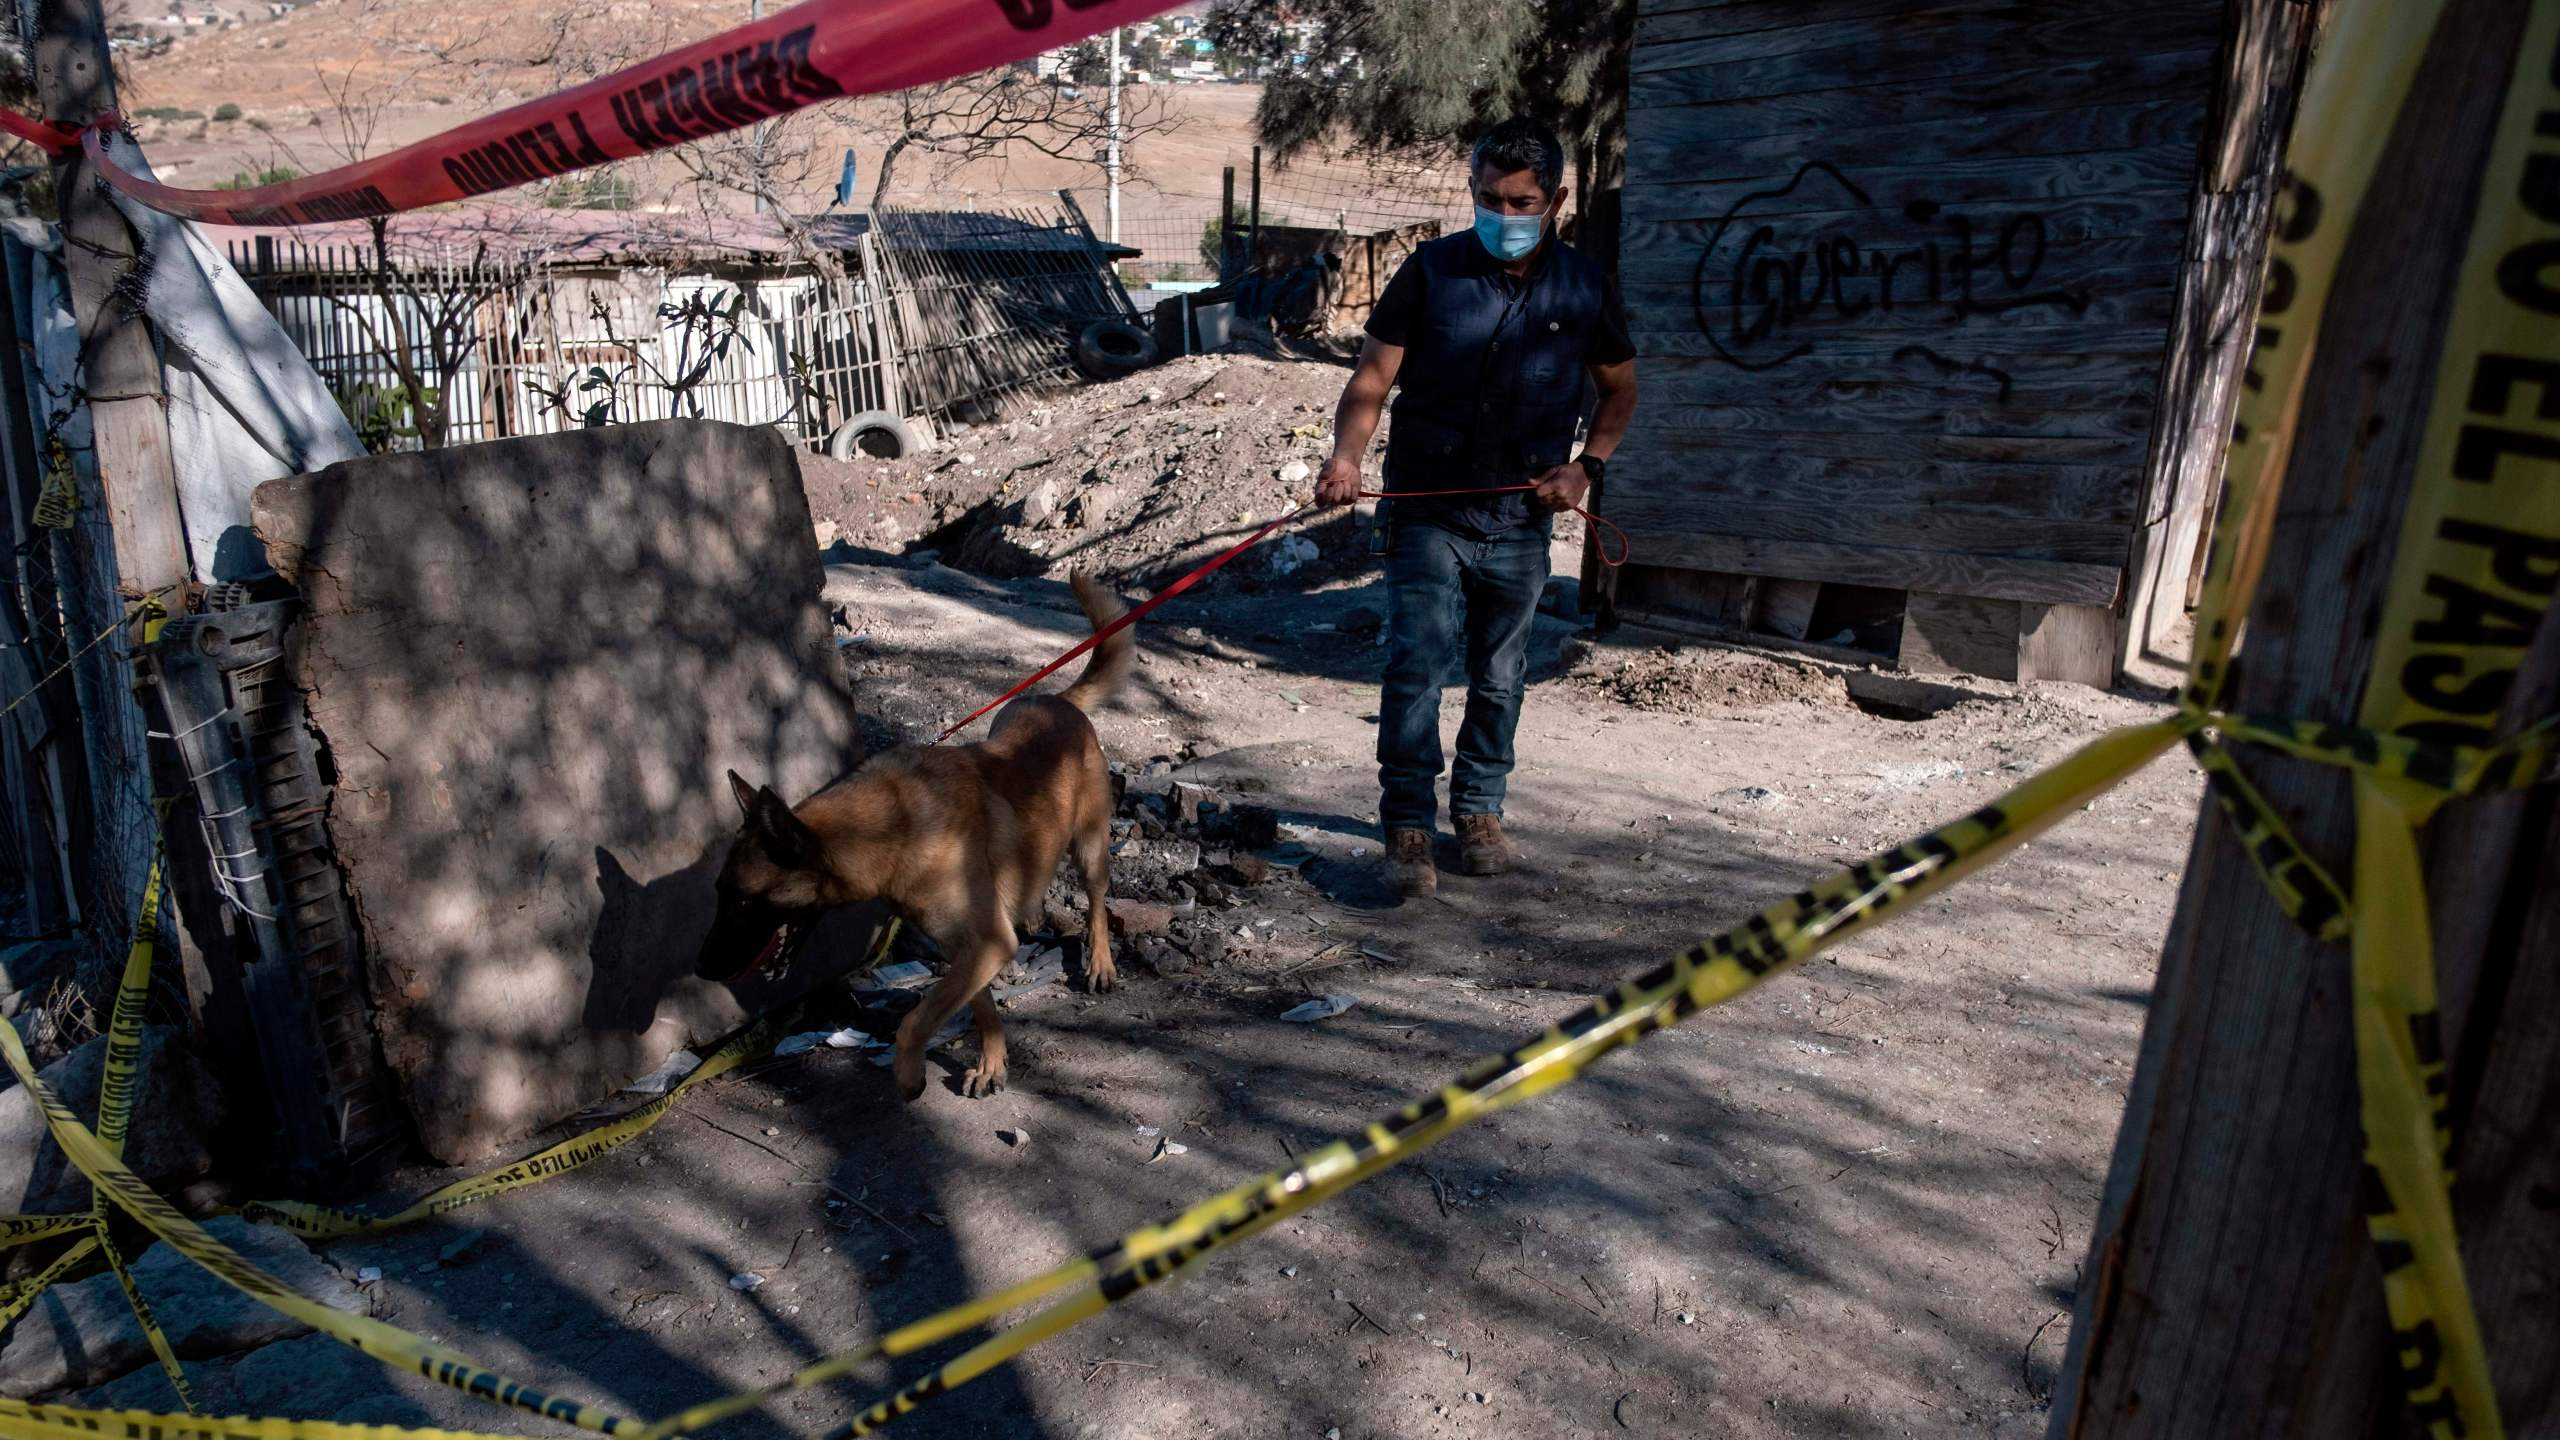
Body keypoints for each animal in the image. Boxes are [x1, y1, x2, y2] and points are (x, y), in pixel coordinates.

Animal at [691, 566, 1131, 1091]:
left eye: (741, 900)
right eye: (719, 893)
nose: (701, 969)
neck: (892, 829)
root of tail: (1059, 701)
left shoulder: (984, 943)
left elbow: (913, 1020)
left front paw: (908, 1073)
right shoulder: (969, 947)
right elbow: (977, 1005)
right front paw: (991, 1061)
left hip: (1090, 847)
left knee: (1098, 903)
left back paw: (1101, 961)